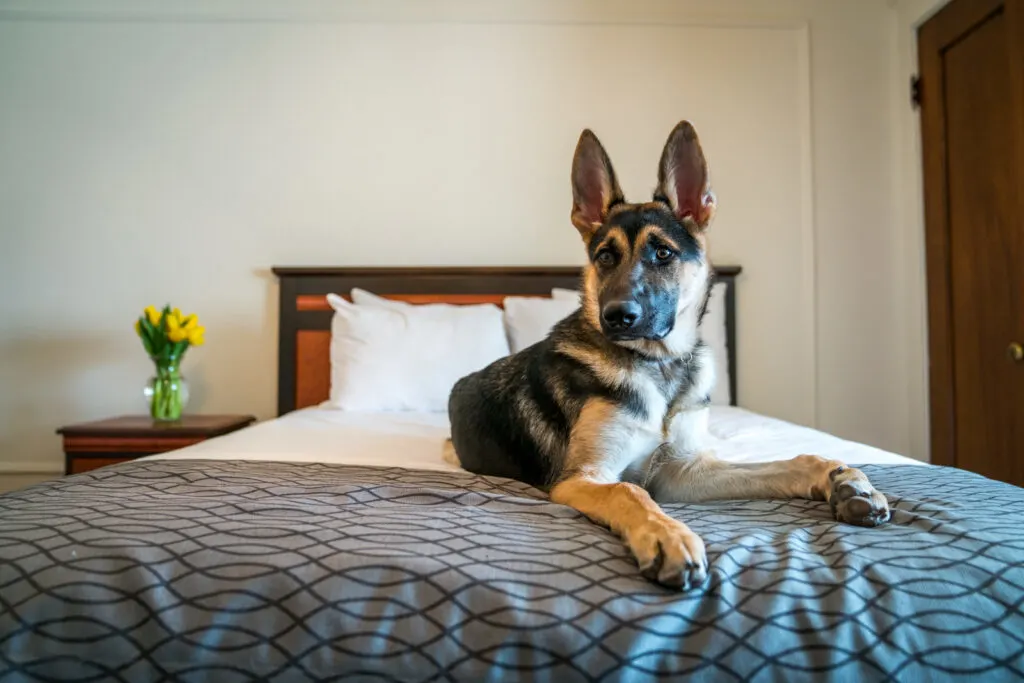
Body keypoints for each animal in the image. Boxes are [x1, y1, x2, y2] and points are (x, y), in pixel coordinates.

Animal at [446, 120, 888, 589]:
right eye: (605, 256)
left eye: (663, 253)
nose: (617, 317)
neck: (657, 365)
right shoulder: (582, 478)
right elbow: (630, 490)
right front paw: (666, 535)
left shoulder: (683, 471)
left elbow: (784, 464)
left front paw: (841, 479)